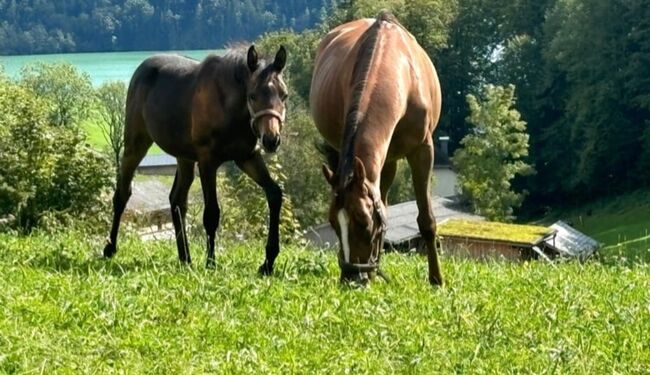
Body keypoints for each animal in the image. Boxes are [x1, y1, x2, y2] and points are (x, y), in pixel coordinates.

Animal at [103, 46, 286, 276]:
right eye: (252, 96)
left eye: (284, 95)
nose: (272, 140)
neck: (229, 107)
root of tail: (142, 69)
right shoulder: (208, 161)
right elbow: (212, 214)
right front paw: (211, 263)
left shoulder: (247, 157)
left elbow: (274, 194)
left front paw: (268, 261)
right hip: (135, 145)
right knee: (122, 194)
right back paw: (110, 248)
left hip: (184, 157)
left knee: (177, 200)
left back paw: (185, 258)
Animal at [308, 13, 440, 286]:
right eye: (333, 223)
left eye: (364, 222)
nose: (351, 277)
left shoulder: (423, 150)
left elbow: (426, 219)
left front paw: (436, 280)